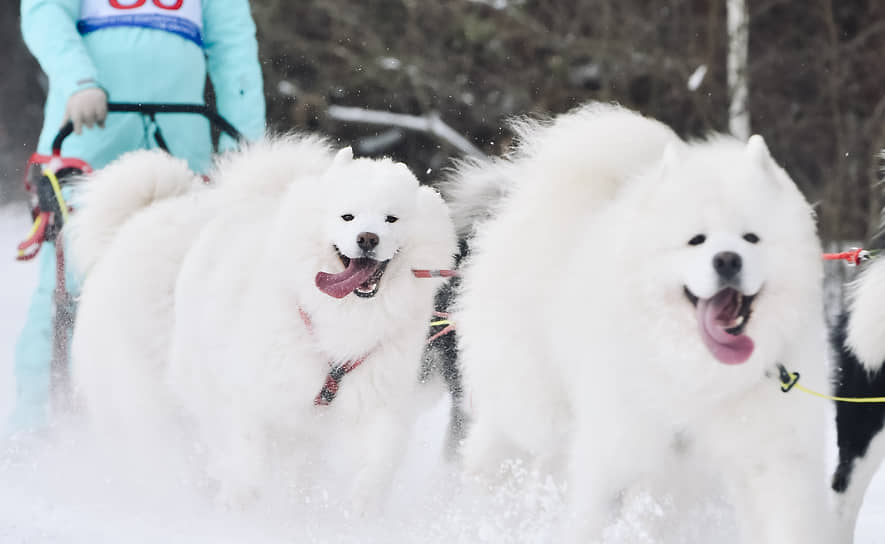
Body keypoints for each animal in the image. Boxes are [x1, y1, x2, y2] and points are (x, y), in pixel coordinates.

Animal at [68, 135, 456, 510]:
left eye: (391, 219)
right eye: (348, 217)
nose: (367, 239)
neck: (340, 320)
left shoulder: (376, 395)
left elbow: (381, 458)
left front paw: (362, 504)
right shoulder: (248, 392)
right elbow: (247, 453)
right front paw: (242, 498)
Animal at [448, 103, 836, 544]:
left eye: (751, 238)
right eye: (696, 240)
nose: (727, 260)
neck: (702, 376)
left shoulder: (774, 459)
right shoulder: (620, 450)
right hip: (532, 406)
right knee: (496, 453)